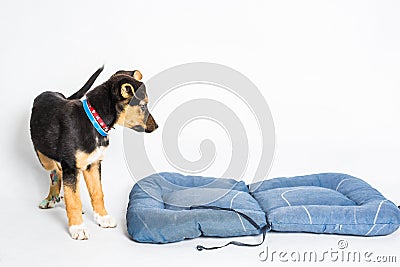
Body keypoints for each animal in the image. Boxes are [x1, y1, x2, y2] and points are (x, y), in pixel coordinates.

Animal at [29, 67, 157, 241]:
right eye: (143, 106)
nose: (156, 126)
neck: (93, 120)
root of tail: (49, 92)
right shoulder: (70, 166)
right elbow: (73, 200)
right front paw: (77, 228)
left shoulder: (93, 164)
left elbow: (98, 193)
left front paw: (103, 217)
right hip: (43, 156)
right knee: (56, 172)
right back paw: (51, 198)